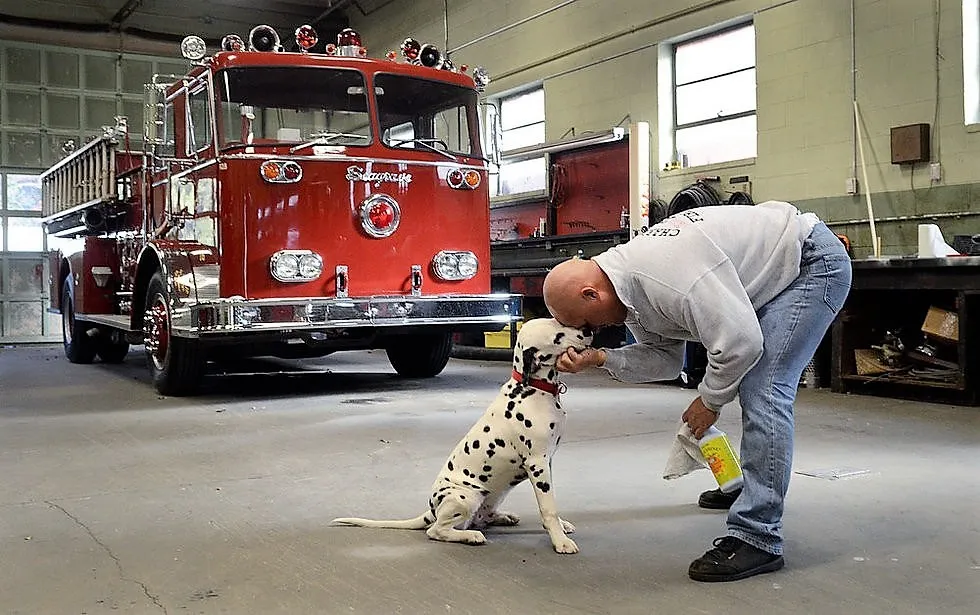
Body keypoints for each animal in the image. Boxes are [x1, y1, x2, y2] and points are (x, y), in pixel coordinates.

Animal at [332, 320, 588, 556]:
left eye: (561, 323)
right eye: (558, 335)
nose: (588, 331)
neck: (532, 390)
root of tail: (432, 509)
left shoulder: (547, 463)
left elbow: (551, 501)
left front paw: (562, 527)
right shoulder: (537, 464)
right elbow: (548, 508)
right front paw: (560, 541)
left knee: (480, 518)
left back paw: (502, 517)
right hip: (466, 497)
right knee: (437, 530)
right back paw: (471, 536)